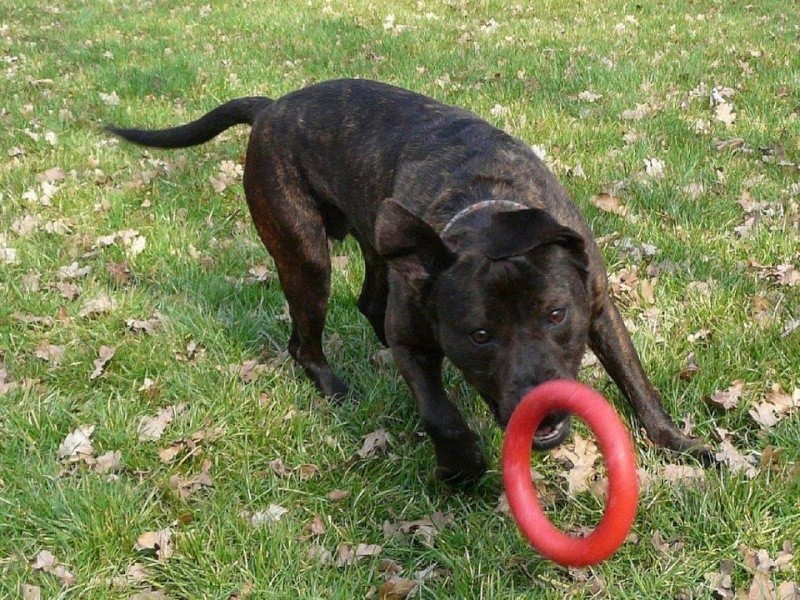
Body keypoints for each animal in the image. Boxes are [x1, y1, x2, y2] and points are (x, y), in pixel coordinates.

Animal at [108, 78, 712, 482]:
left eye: (557, 314)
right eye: (480, 335)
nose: (540, 404)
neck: (485, 206)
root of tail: (271, 107)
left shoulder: (601, 308)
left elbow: (637, 383)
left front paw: (680, 445)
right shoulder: (416, 343)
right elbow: (439, 413)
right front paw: (462, 466)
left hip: (381, 246)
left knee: (369, 303)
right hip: (307, 259)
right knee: (305, 340)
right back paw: (332, 385)